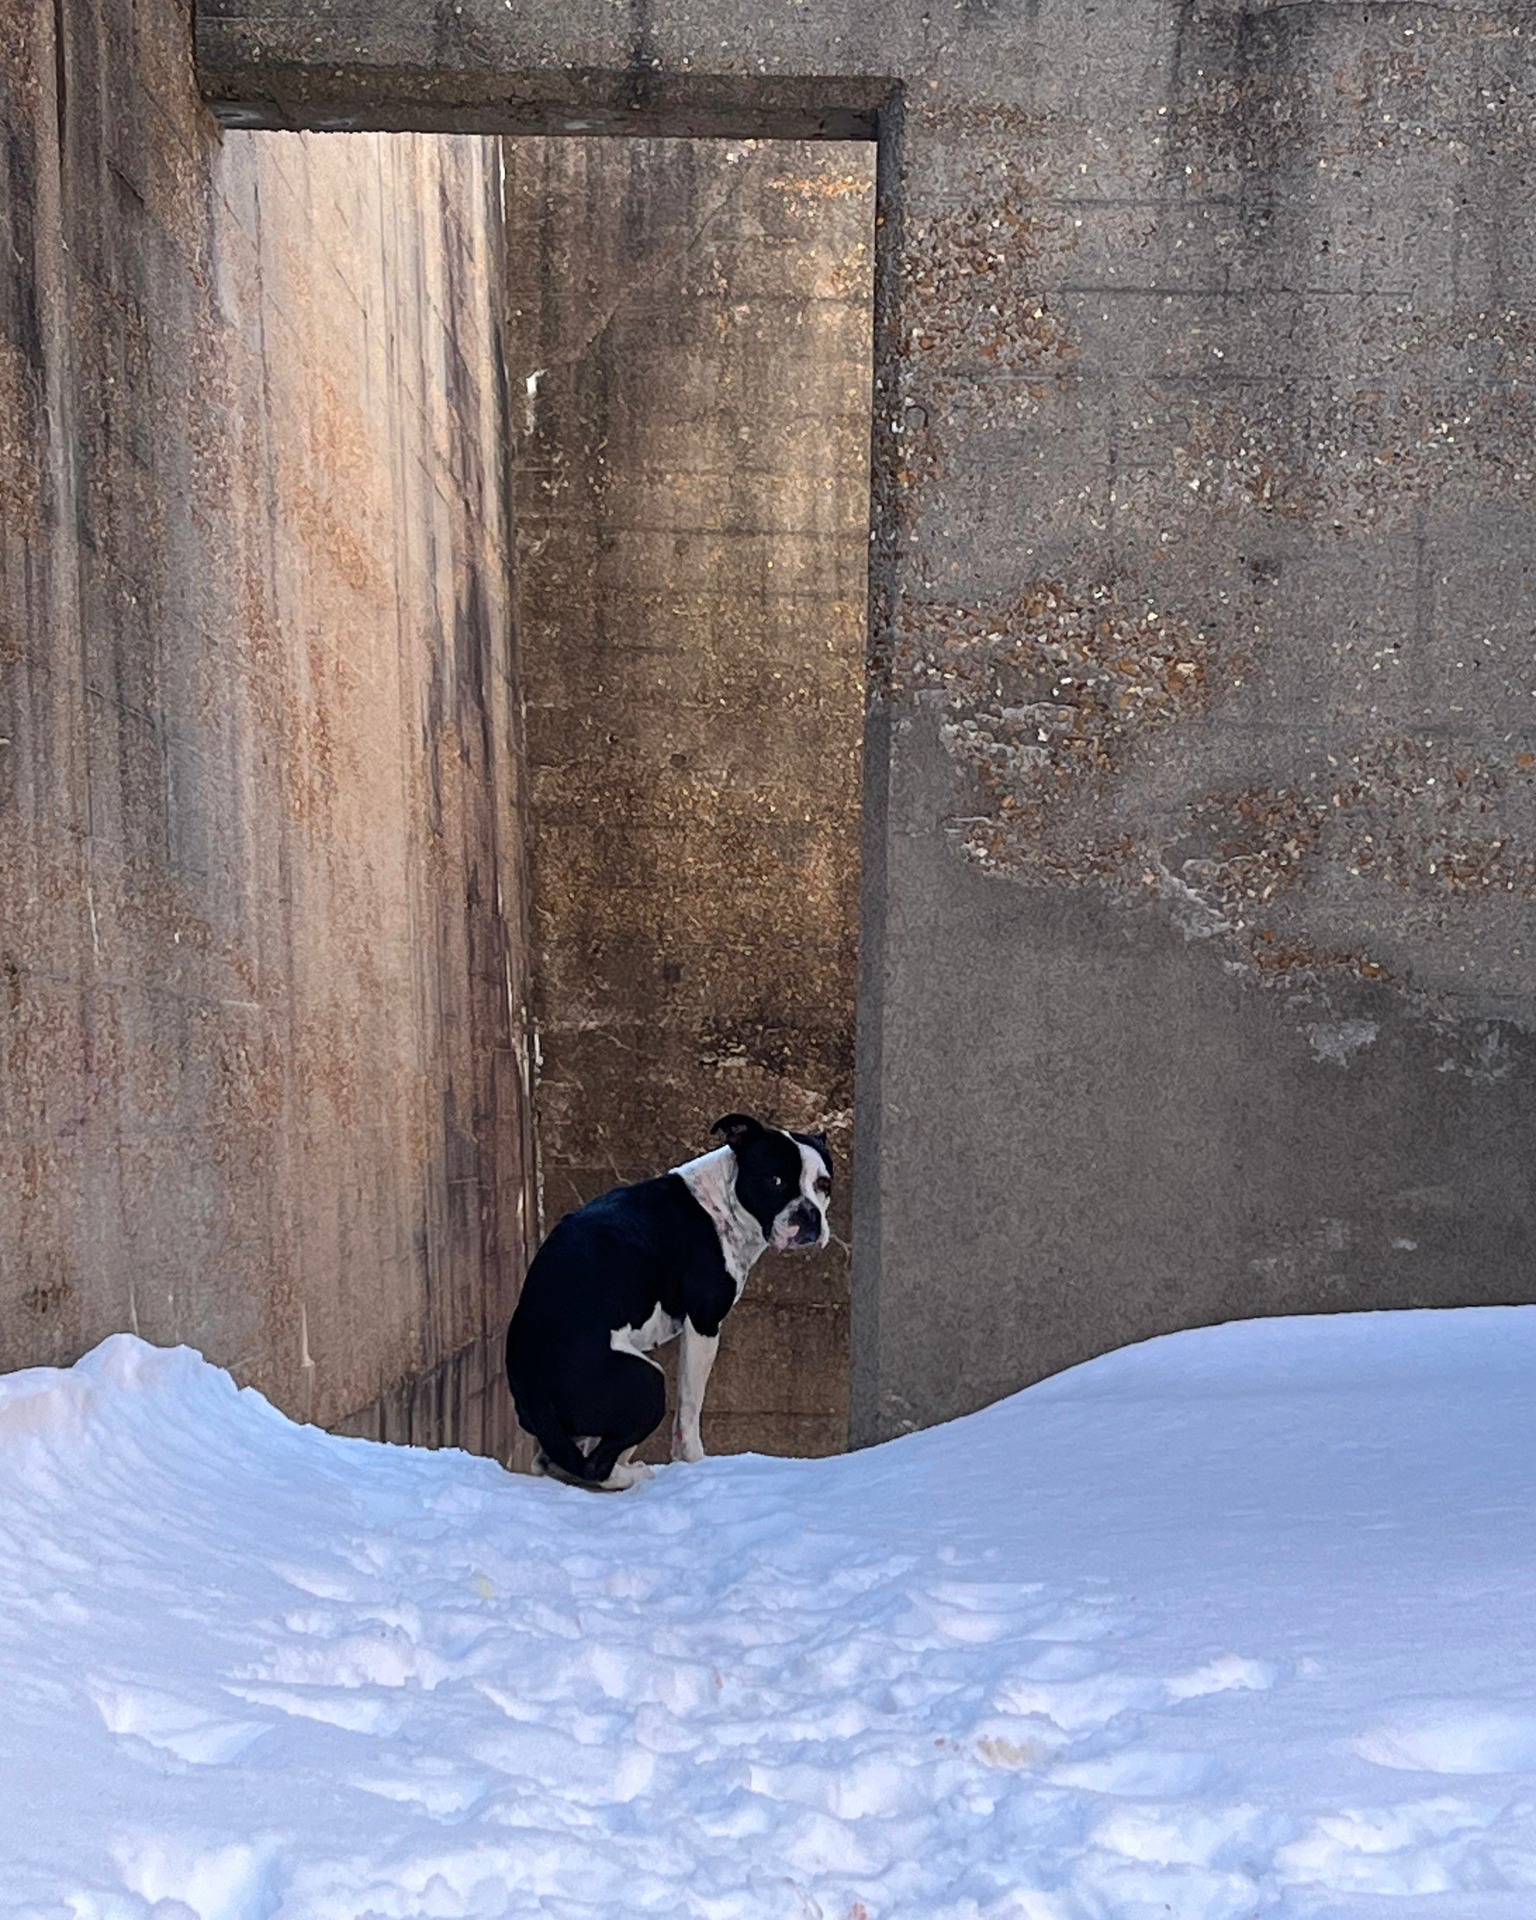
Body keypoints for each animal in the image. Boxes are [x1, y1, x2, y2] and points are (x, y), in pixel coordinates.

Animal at [506, 1121, 833, 1489]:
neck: (721, 1201)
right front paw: (693, 1461)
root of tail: (533, 1390)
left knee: (556, 1460)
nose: (809, 1215)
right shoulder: (703, 1324)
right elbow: (690, 1407)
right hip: (650, 1383)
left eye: (823, 1185)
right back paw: (633, 1474)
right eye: (774, 1180)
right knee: (595, 1467)